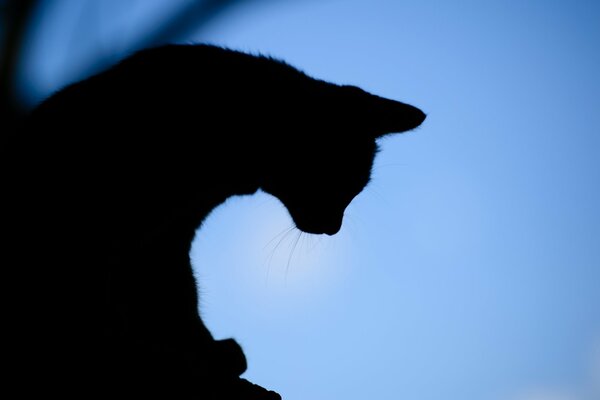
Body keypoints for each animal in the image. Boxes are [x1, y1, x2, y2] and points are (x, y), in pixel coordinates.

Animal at [1, 43, 422, 396]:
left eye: (356, 191)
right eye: (338, 183)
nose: (333, 228)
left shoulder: (170, 234)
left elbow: (178, 290)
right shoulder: (133, 229)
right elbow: (160, 294)